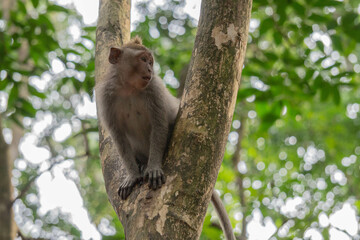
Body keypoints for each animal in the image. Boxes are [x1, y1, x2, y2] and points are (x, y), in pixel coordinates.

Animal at [95, 37, 236, 240]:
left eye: (150, 61)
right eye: (143, 59)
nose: (150, 69)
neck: (129, 88)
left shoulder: (154, 89)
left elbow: (159, 126)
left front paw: (153, 168)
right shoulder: (106, 97)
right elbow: (118, 137)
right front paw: (132, 175)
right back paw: (141, 165)